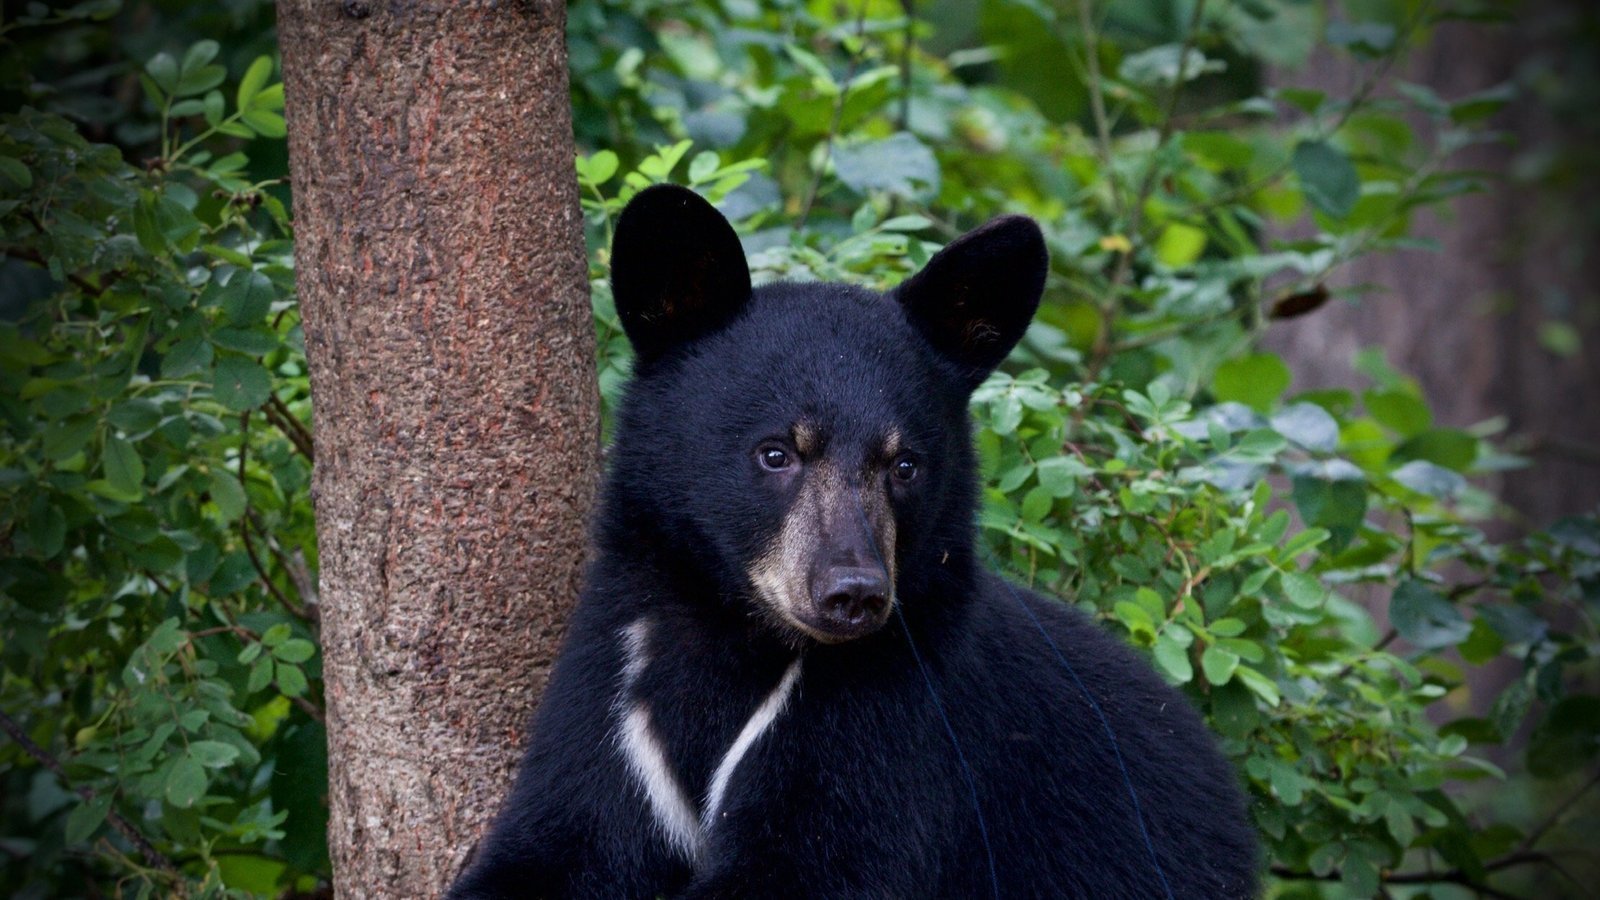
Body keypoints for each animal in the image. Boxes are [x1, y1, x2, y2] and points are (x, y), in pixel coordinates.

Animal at [447, 184, 1258, 899]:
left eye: (904, 464)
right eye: (776, 452)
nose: (854, 594)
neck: (734, 636)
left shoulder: (895, 716)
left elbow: (817, 862)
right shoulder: (615, 684)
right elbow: (559, 840)